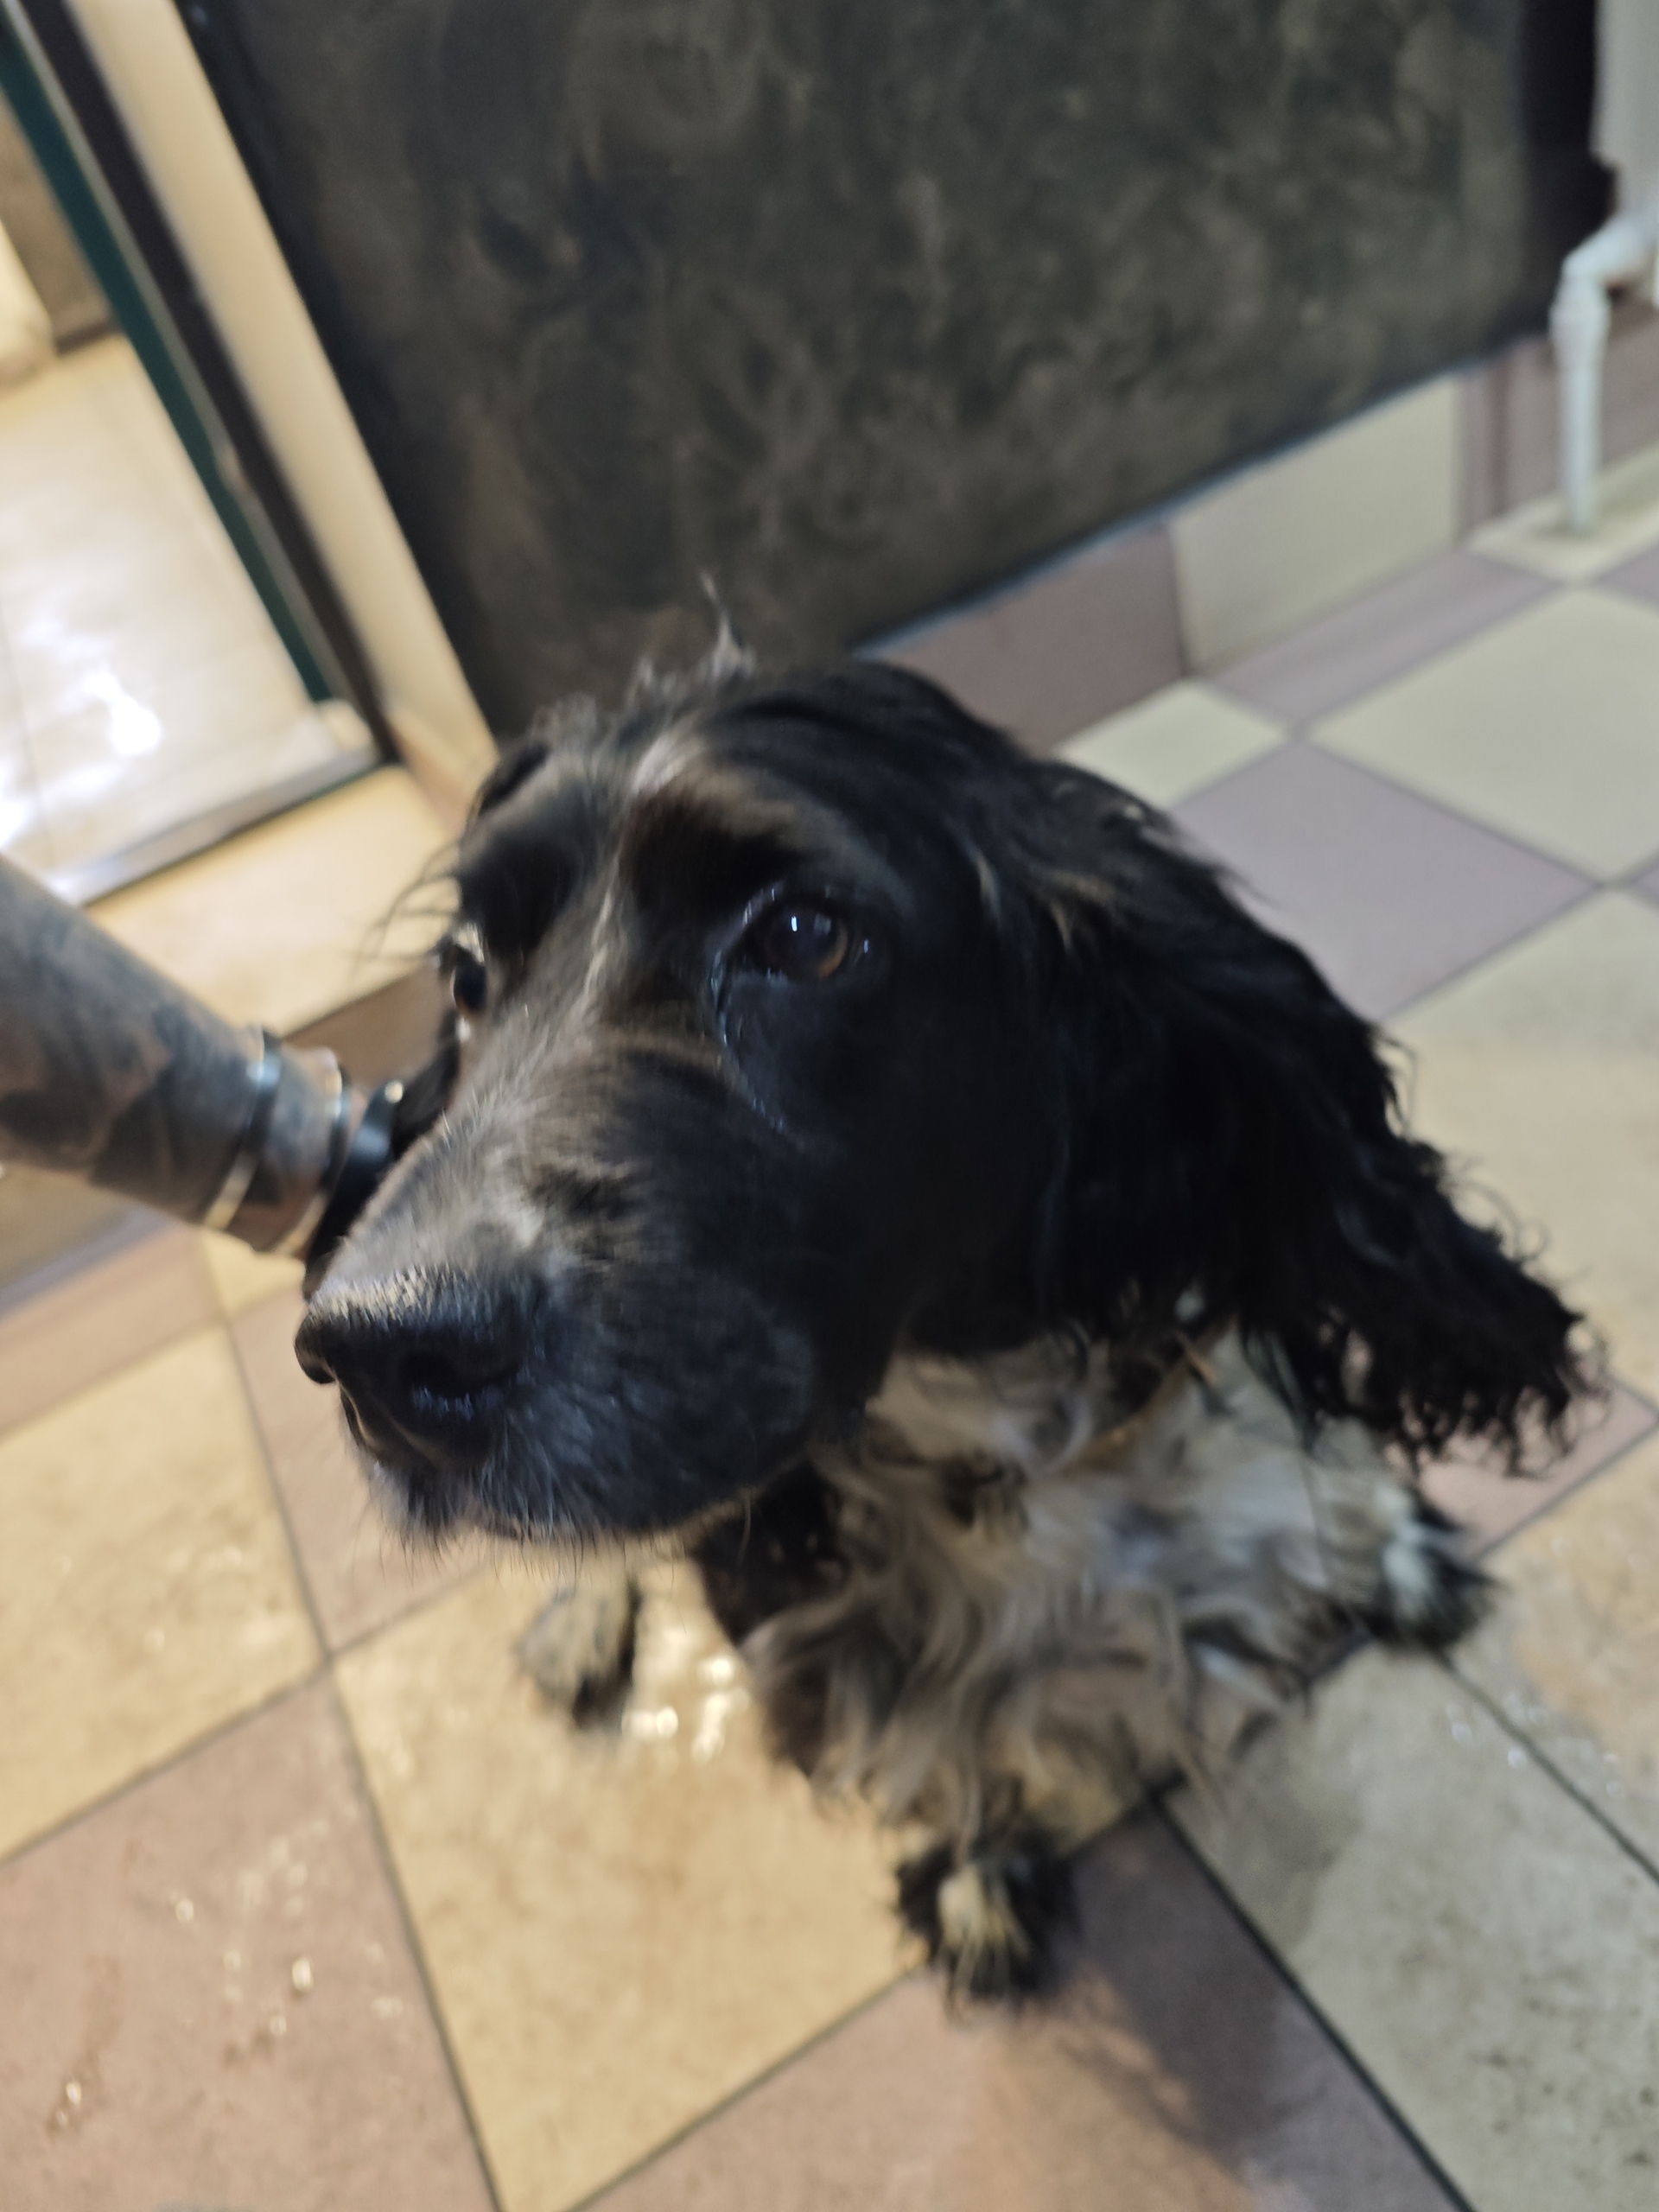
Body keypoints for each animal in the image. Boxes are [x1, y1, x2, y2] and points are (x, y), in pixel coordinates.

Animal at [297, 638, 1589, 1995]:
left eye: (807, 934)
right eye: (466, 973)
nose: (375, 1354)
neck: (1001, 1447)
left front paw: (1388, 1540)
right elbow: (944, 1759)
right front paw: (976, 1869)